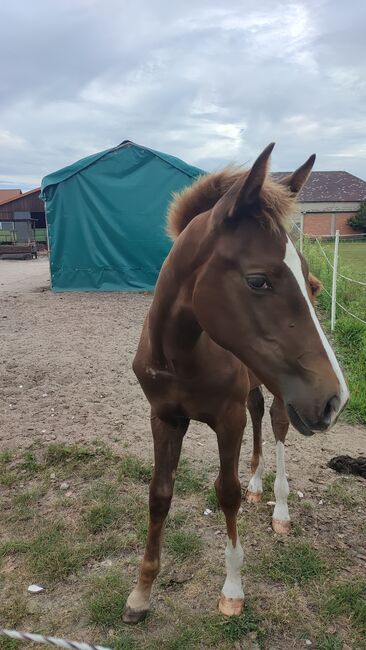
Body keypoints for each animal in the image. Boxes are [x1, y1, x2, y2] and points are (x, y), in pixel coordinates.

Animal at [123, 144, 348, 620]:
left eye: (313, 285)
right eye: (258, 280)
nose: (336, 399)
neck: (180, 356)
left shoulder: (227, 420)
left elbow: (226, 493)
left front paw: (232, 589)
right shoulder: (164, 418)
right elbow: (159, 494)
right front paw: (141, 591)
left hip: (285, 393)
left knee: (277, 425)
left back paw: (280, 507)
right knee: (259, 413)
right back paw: (259, 486)